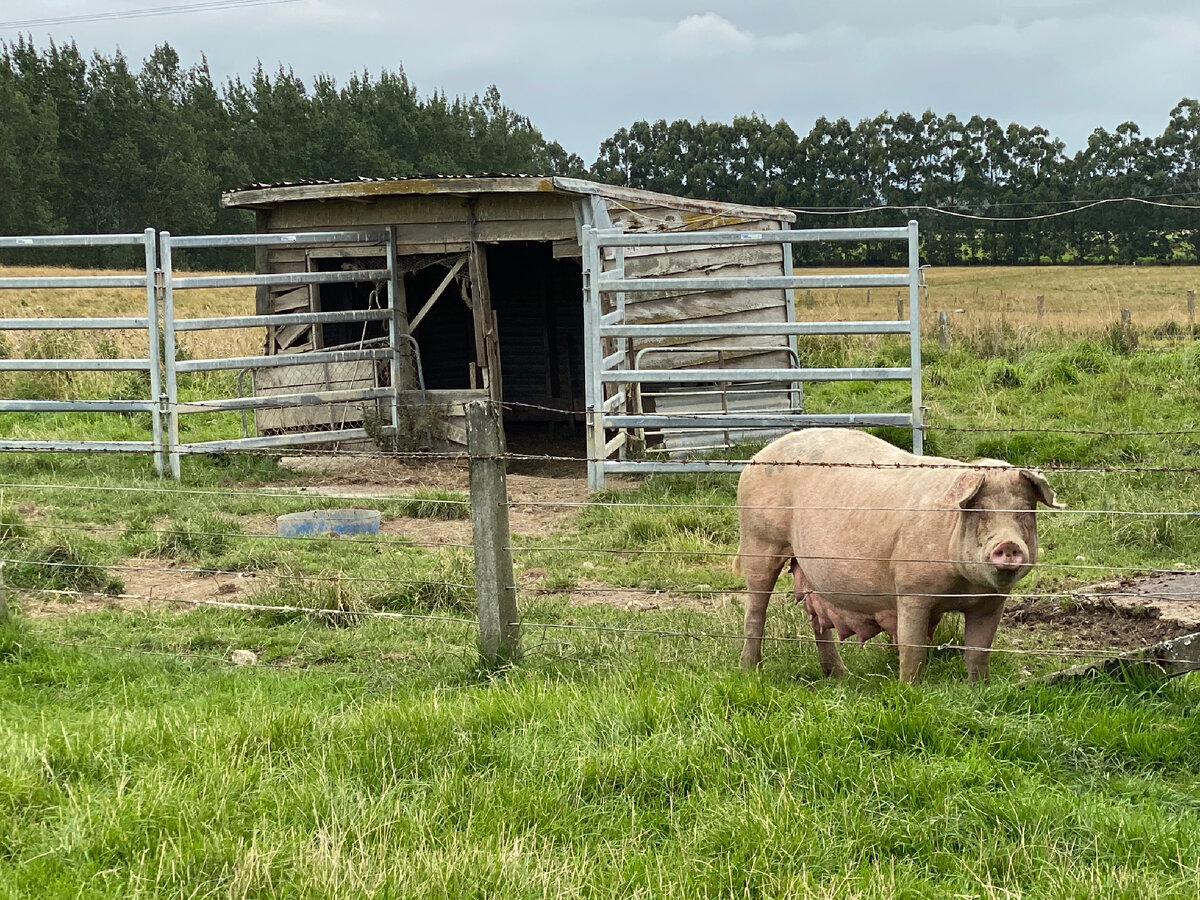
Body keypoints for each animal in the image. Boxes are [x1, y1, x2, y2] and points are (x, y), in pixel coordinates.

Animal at [734, 429, 1065, 681]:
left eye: (1024, 513)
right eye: (980, 513)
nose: (1008, 544)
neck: (962, 587)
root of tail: (756, 458)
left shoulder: (991, 602)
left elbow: (979, 652)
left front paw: (978, 687)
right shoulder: (911, 590)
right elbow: (912, 648)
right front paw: (910, 688)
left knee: (817, 618)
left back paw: (839, 675)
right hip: (759, 539)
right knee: (756, 608)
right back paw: (749, 670)